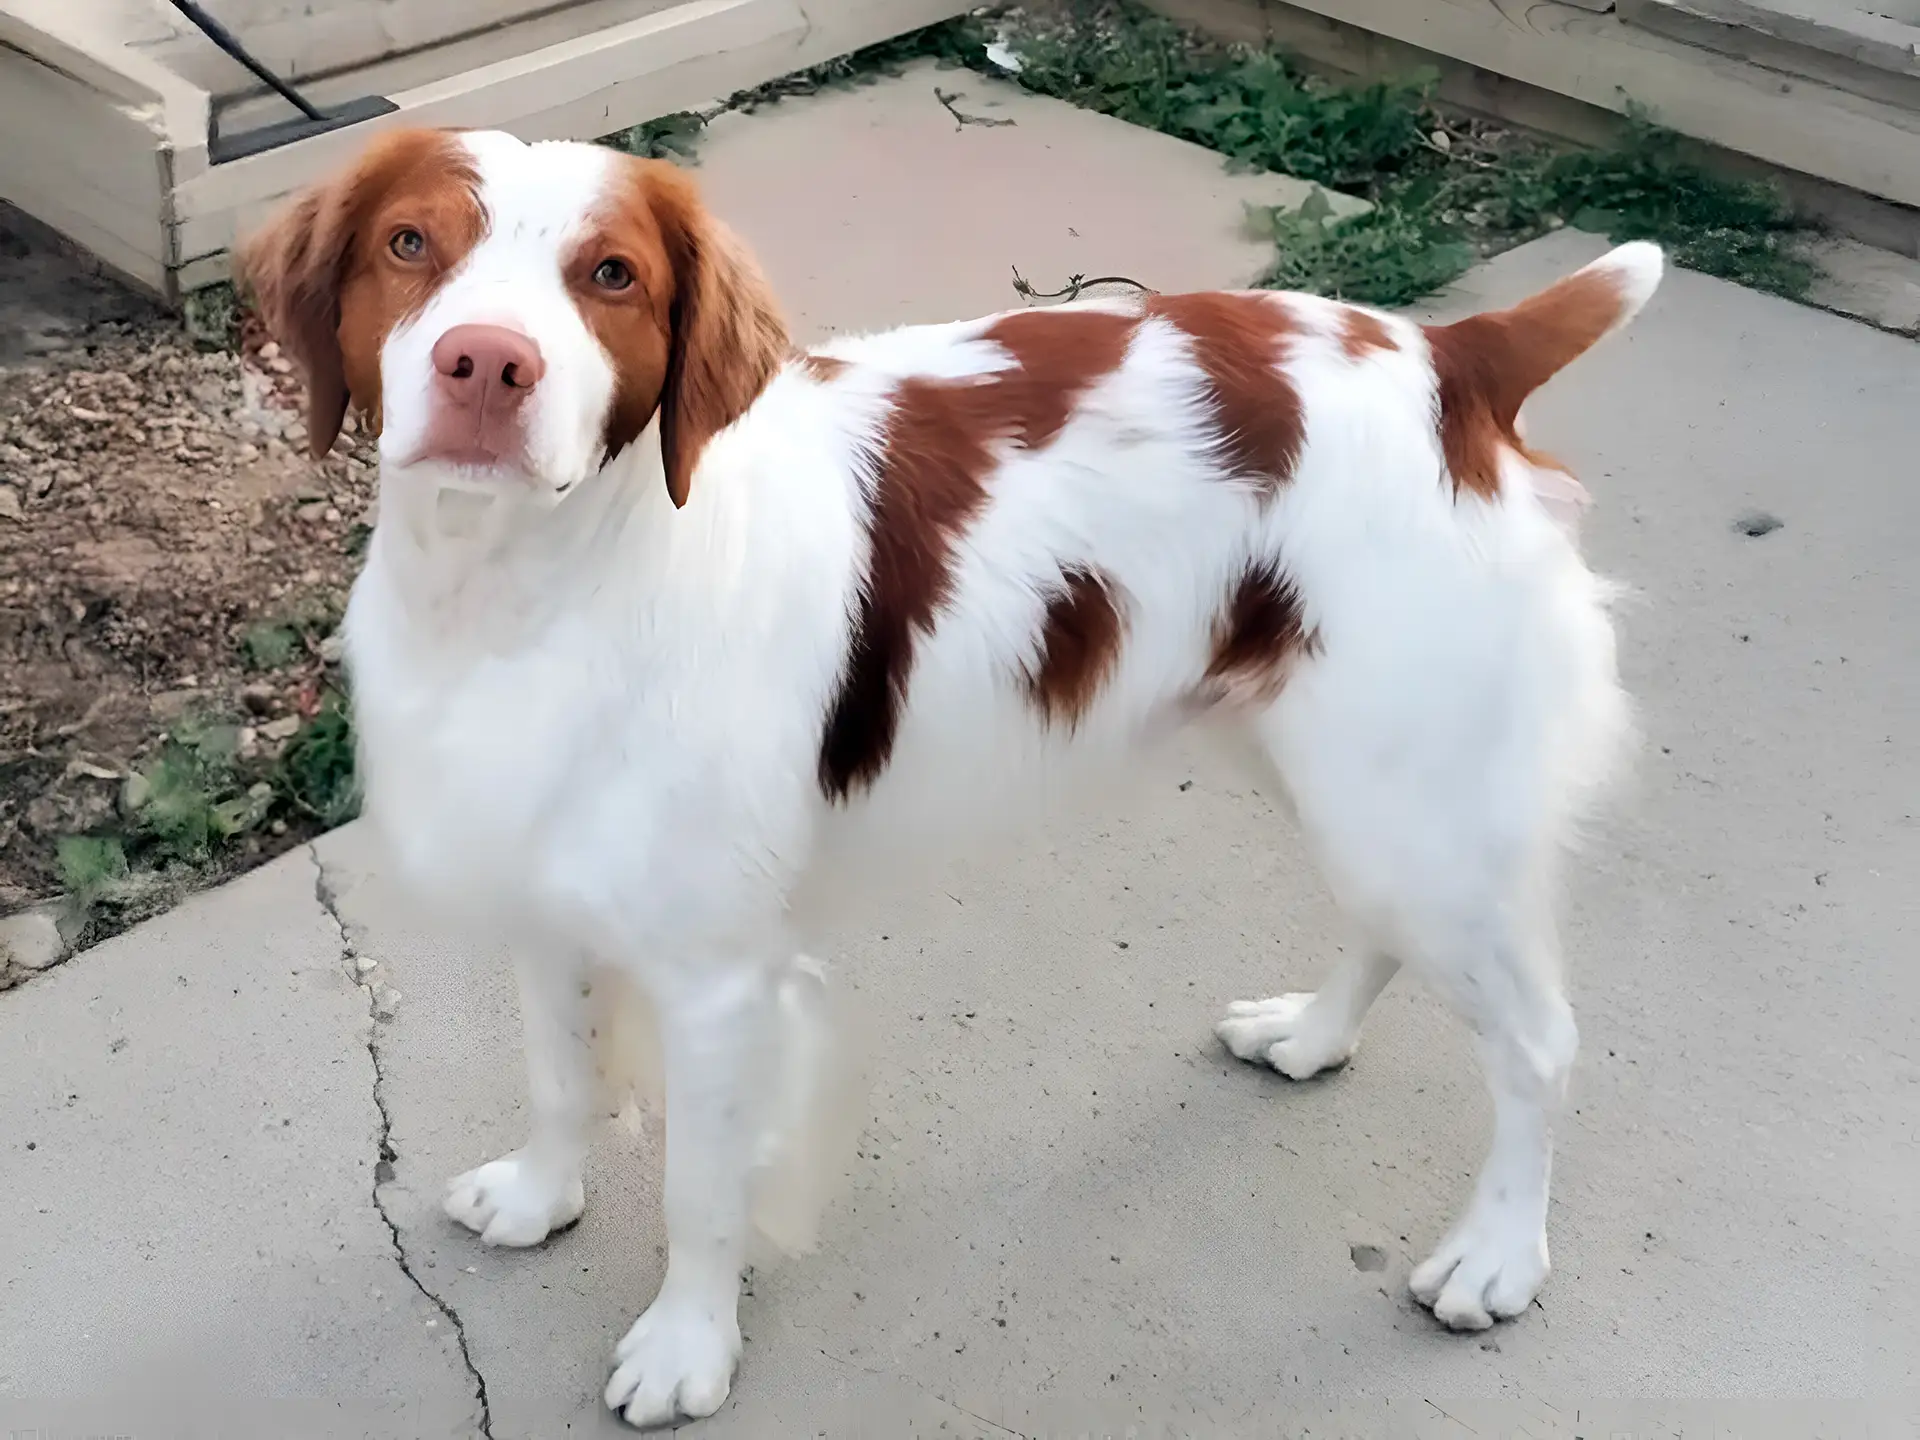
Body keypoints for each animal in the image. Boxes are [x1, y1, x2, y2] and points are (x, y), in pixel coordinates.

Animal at [236, 126, 1651, 1436]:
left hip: (1406, 785)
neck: (538, 588)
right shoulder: (547, 897)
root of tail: (1453, 360)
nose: (486, 364)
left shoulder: (714, 975)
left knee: (1538, 1041)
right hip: (1340, 768)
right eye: (408, 245)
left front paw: (687, 1348)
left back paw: (1495, 1257)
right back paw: (1308, 1038)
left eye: (612, 274)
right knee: (1385, 928)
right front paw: (541, 1200)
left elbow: (701, 1186)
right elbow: (560, 1075)